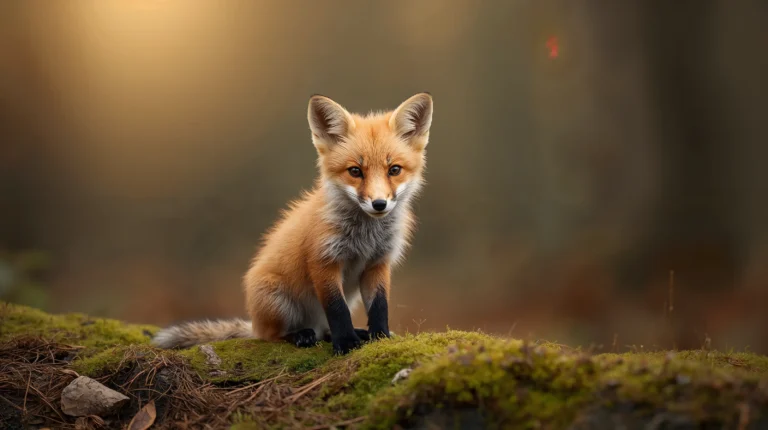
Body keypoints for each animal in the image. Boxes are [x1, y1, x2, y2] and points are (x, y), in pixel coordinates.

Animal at [151, 92, 433, 354]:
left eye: (394, 170)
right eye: (355, 171)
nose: (379, 204)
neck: (365, 237)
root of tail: (255, 323)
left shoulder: (378, 263)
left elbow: (379, 306)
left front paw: (380, 337)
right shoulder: (323, 261)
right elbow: (337, 309)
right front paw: (345, 343)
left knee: (322, 331)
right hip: (279, 303)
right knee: (273, 335)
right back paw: (300, 335)